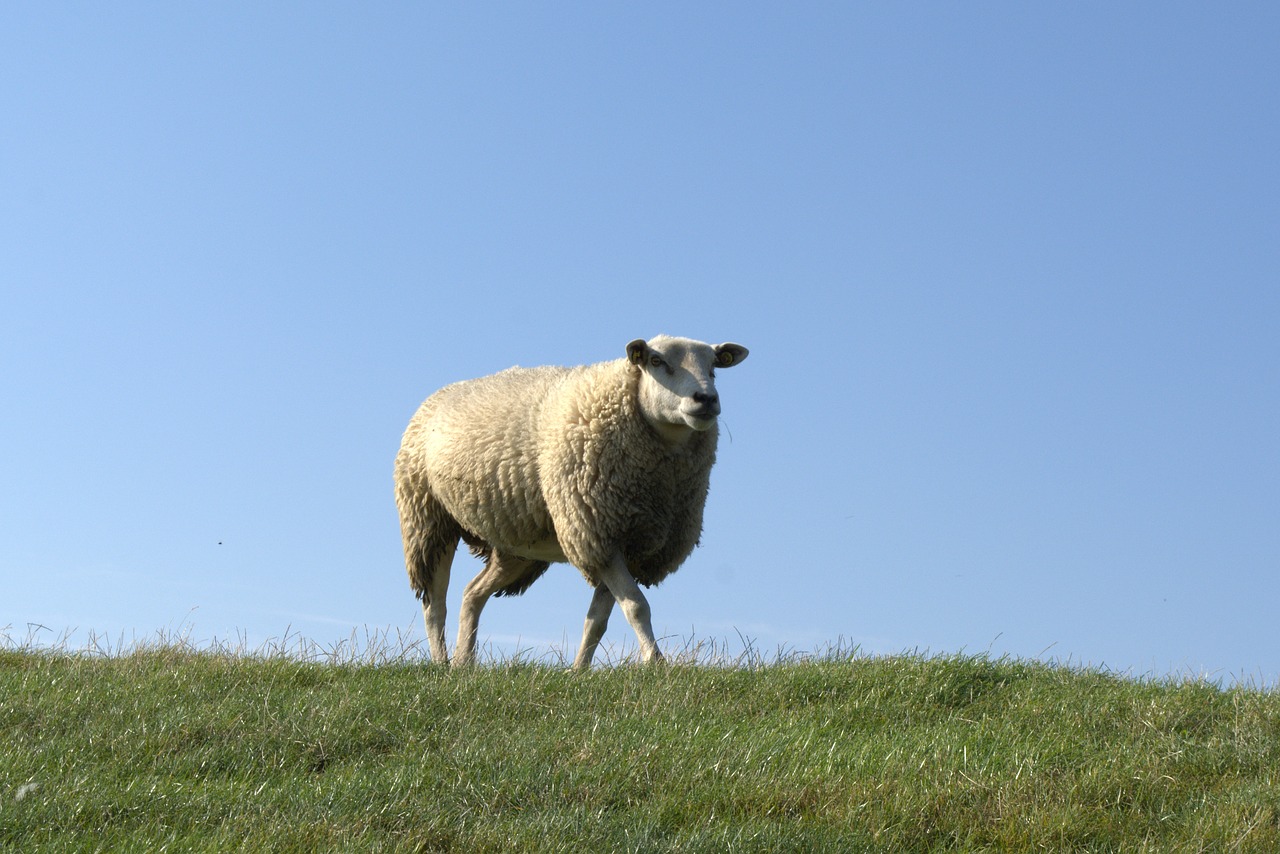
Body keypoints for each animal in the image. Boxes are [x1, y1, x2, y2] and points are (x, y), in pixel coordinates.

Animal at [391, 332, 747, 665]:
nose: (706, 399)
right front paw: (655, 662)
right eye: (656, 361)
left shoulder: (623, 543)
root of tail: (438, 394)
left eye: (714, 367)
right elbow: (636, 606)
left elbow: (598, 619)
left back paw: (464, 663)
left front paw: (578, 671)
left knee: (472, 594)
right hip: (428, 519)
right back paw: (441, 663)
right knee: (435, 603)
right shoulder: (596, 533)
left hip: (515, 546)